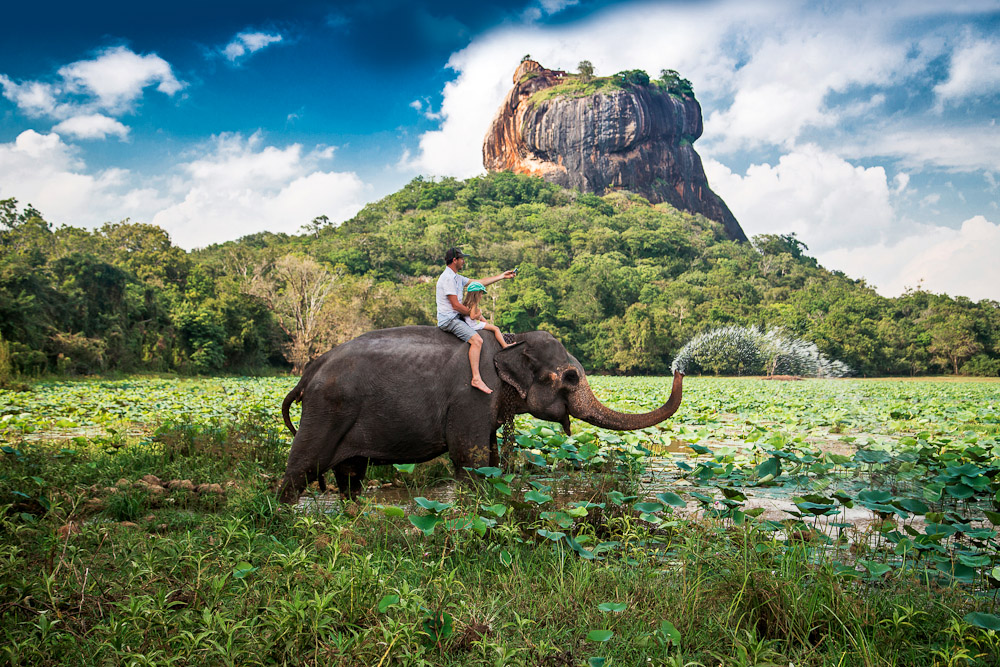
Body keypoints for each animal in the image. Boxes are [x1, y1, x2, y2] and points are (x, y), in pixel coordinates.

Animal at [278, 326, 684, 504]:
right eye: (570, 377)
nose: (679, 368)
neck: (511, 342)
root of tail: (309, 372)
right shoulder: (472, 397)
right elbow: (469, 459)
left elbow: (489, 459)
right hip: (326, 410)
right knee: (302, 468)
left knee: (350, 477)